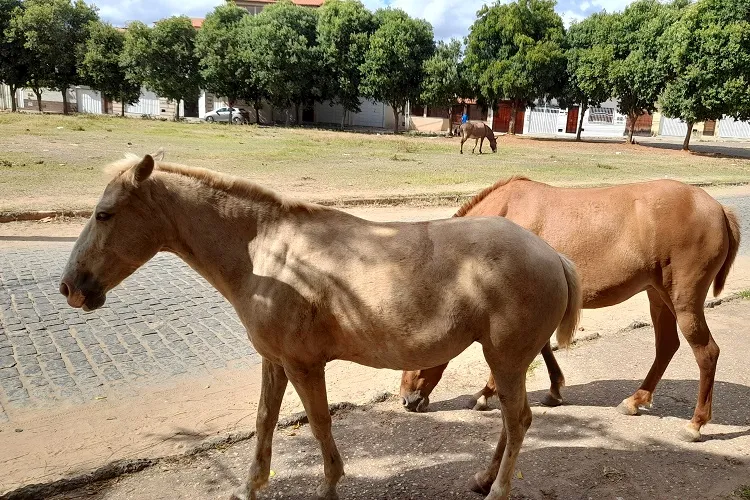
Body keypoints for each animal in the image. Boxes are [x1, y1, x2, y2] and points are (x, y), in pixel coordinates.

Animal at [61, 155, 584, 500]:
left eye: (104, 214)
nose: (71, 287)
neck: (268, 255)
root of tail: (553, 255)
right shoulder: (274, 363)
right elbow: (264, 422)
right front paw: (250, 487)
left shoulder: (303, 365)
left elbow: (318, 424)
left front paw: (329, 485)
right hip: (506, 361)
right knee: (512, 423)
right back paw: (483, 479)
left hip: (507, 359)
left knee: (517, 422)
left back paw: (496, 489)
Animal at [402, 176, 744, 442]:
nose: (407, 399)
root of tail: (718, 209)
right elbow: (543, 349)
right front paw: (554, 391)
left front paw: (485, 394)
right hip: (658, 296)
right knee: (667, 346)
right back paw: (636, 400)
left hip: (683, 301)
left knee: (706, 353)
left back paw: (695, 424)